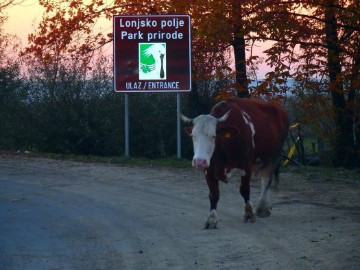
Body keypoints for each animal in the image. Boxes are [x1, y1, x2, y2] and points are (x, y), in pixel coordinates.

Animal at [181, 97, 288, 228]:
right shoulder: (209, 169)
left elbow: (245, 190)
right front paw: (211, 219)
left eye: (213, 136)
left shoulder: (246, 166)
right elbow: (213, 194)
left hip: (274, 155)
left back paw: (263, 208)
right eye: (193, 136)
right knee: (264, 177)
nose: (199, 161)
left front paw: (249, 213)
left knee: (267, 177)